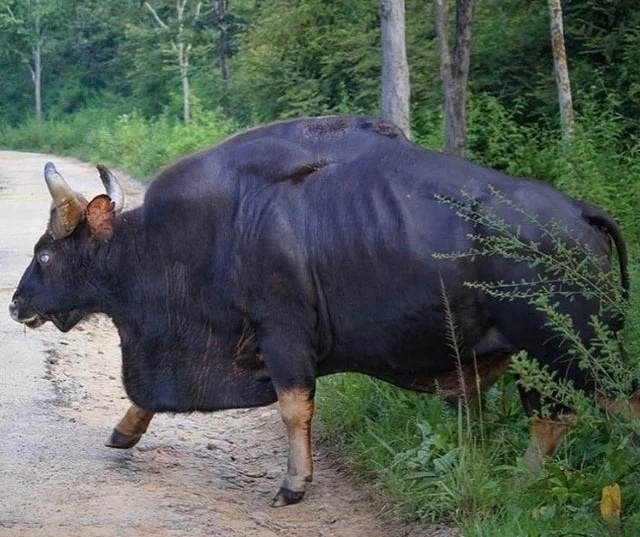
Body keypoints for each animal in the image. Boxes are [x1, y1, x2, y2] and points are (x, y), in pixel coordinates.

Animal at [9, 115, 631, 506]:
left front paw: (293, 484)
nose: (15, 304)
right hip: (546, 358)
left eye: (44, 253)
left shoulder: (281, 334)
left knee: (607, 410)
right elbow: (148, 396)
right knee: (554, 421)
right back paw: (521, 485)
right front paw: (124, 432)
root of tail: (581, 212)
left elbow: (293, 409)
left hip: (574, 353)